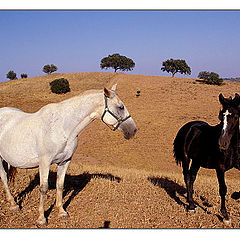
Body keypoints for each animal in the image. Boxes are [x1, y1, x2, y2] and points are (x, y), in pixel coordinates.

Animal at [0, 85, 136, 226]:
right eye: (121, 107)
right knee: (4, 177)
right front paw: (41, 218)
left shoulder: (65, 161)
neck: (61, 127)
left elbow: (60, 184)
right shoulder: (44, 163)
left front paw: (61, 211)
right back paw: (13, 204)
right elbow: (43, 188)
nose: (133, 130)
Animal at [173, 93, 239, 224]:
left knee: (192, 177)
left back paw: (191, 201)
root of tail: (187, 126)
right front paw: (225, 215)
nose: (222, 143)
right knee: (187, 177)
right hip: (186, 159)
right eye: (221, 116)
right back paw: (191, 206)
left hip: (197, 161)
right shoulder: (220, 168)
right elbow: (222, 189)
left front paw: (235, 195)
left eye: (235, 116)